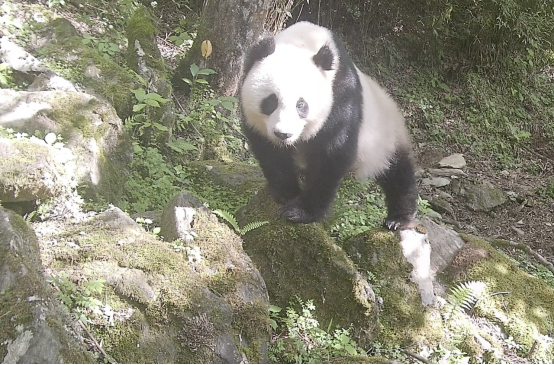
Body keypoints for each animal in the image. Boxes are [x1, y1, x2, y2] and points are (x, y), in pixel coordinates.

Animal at [239, 21, 416, 229]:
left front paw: (299, 212)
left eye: (301, 105)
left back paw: (399, 218)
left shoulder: (341, 95)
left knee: (398, 172)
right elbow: (270, 152)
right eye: (270, 102)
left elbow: (331, 153)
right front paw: (285, 192)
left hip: (384, 137)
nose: (283, 134)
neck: (303, 41)